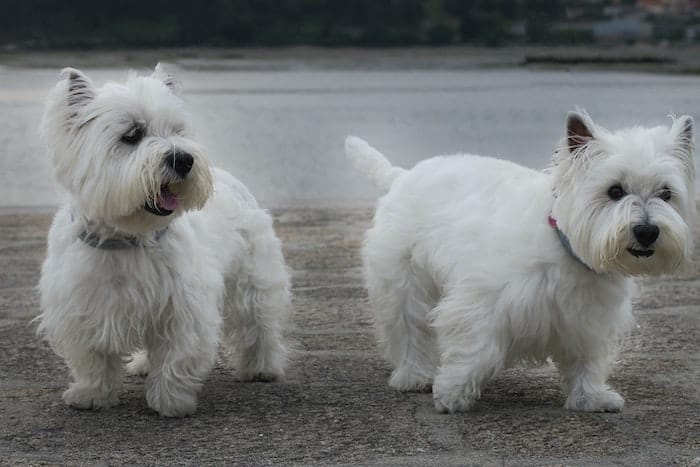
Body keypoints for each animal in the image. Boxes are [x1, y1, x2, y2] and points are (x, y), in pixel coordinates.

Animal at [37, 65, 290, 416]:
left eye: (177, 130)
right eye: (132, 134)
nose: (183, 160)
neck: (127, 236)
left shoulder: (183, 308)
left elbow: (176, 358)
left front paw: (171, 402)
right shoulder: (82, 307)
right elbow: (93, 358)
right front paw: (90, 395)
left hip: (253, 280)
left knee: (259, 324)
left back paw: (261, 368)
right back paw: (143, 365)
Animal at [344, 111, 696, 414]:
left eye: (666, 193)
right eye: (614, 190)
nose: (647, 232)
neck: (563, 245)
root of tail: (401, 176)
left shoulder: (589, 318)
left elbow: (586, 360)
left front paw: (591, 398)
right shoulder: (481, 303)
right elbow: (477, 350)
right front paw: (452, 393)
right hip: (402, 281)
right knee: (408, 329)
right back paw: (413, 377)